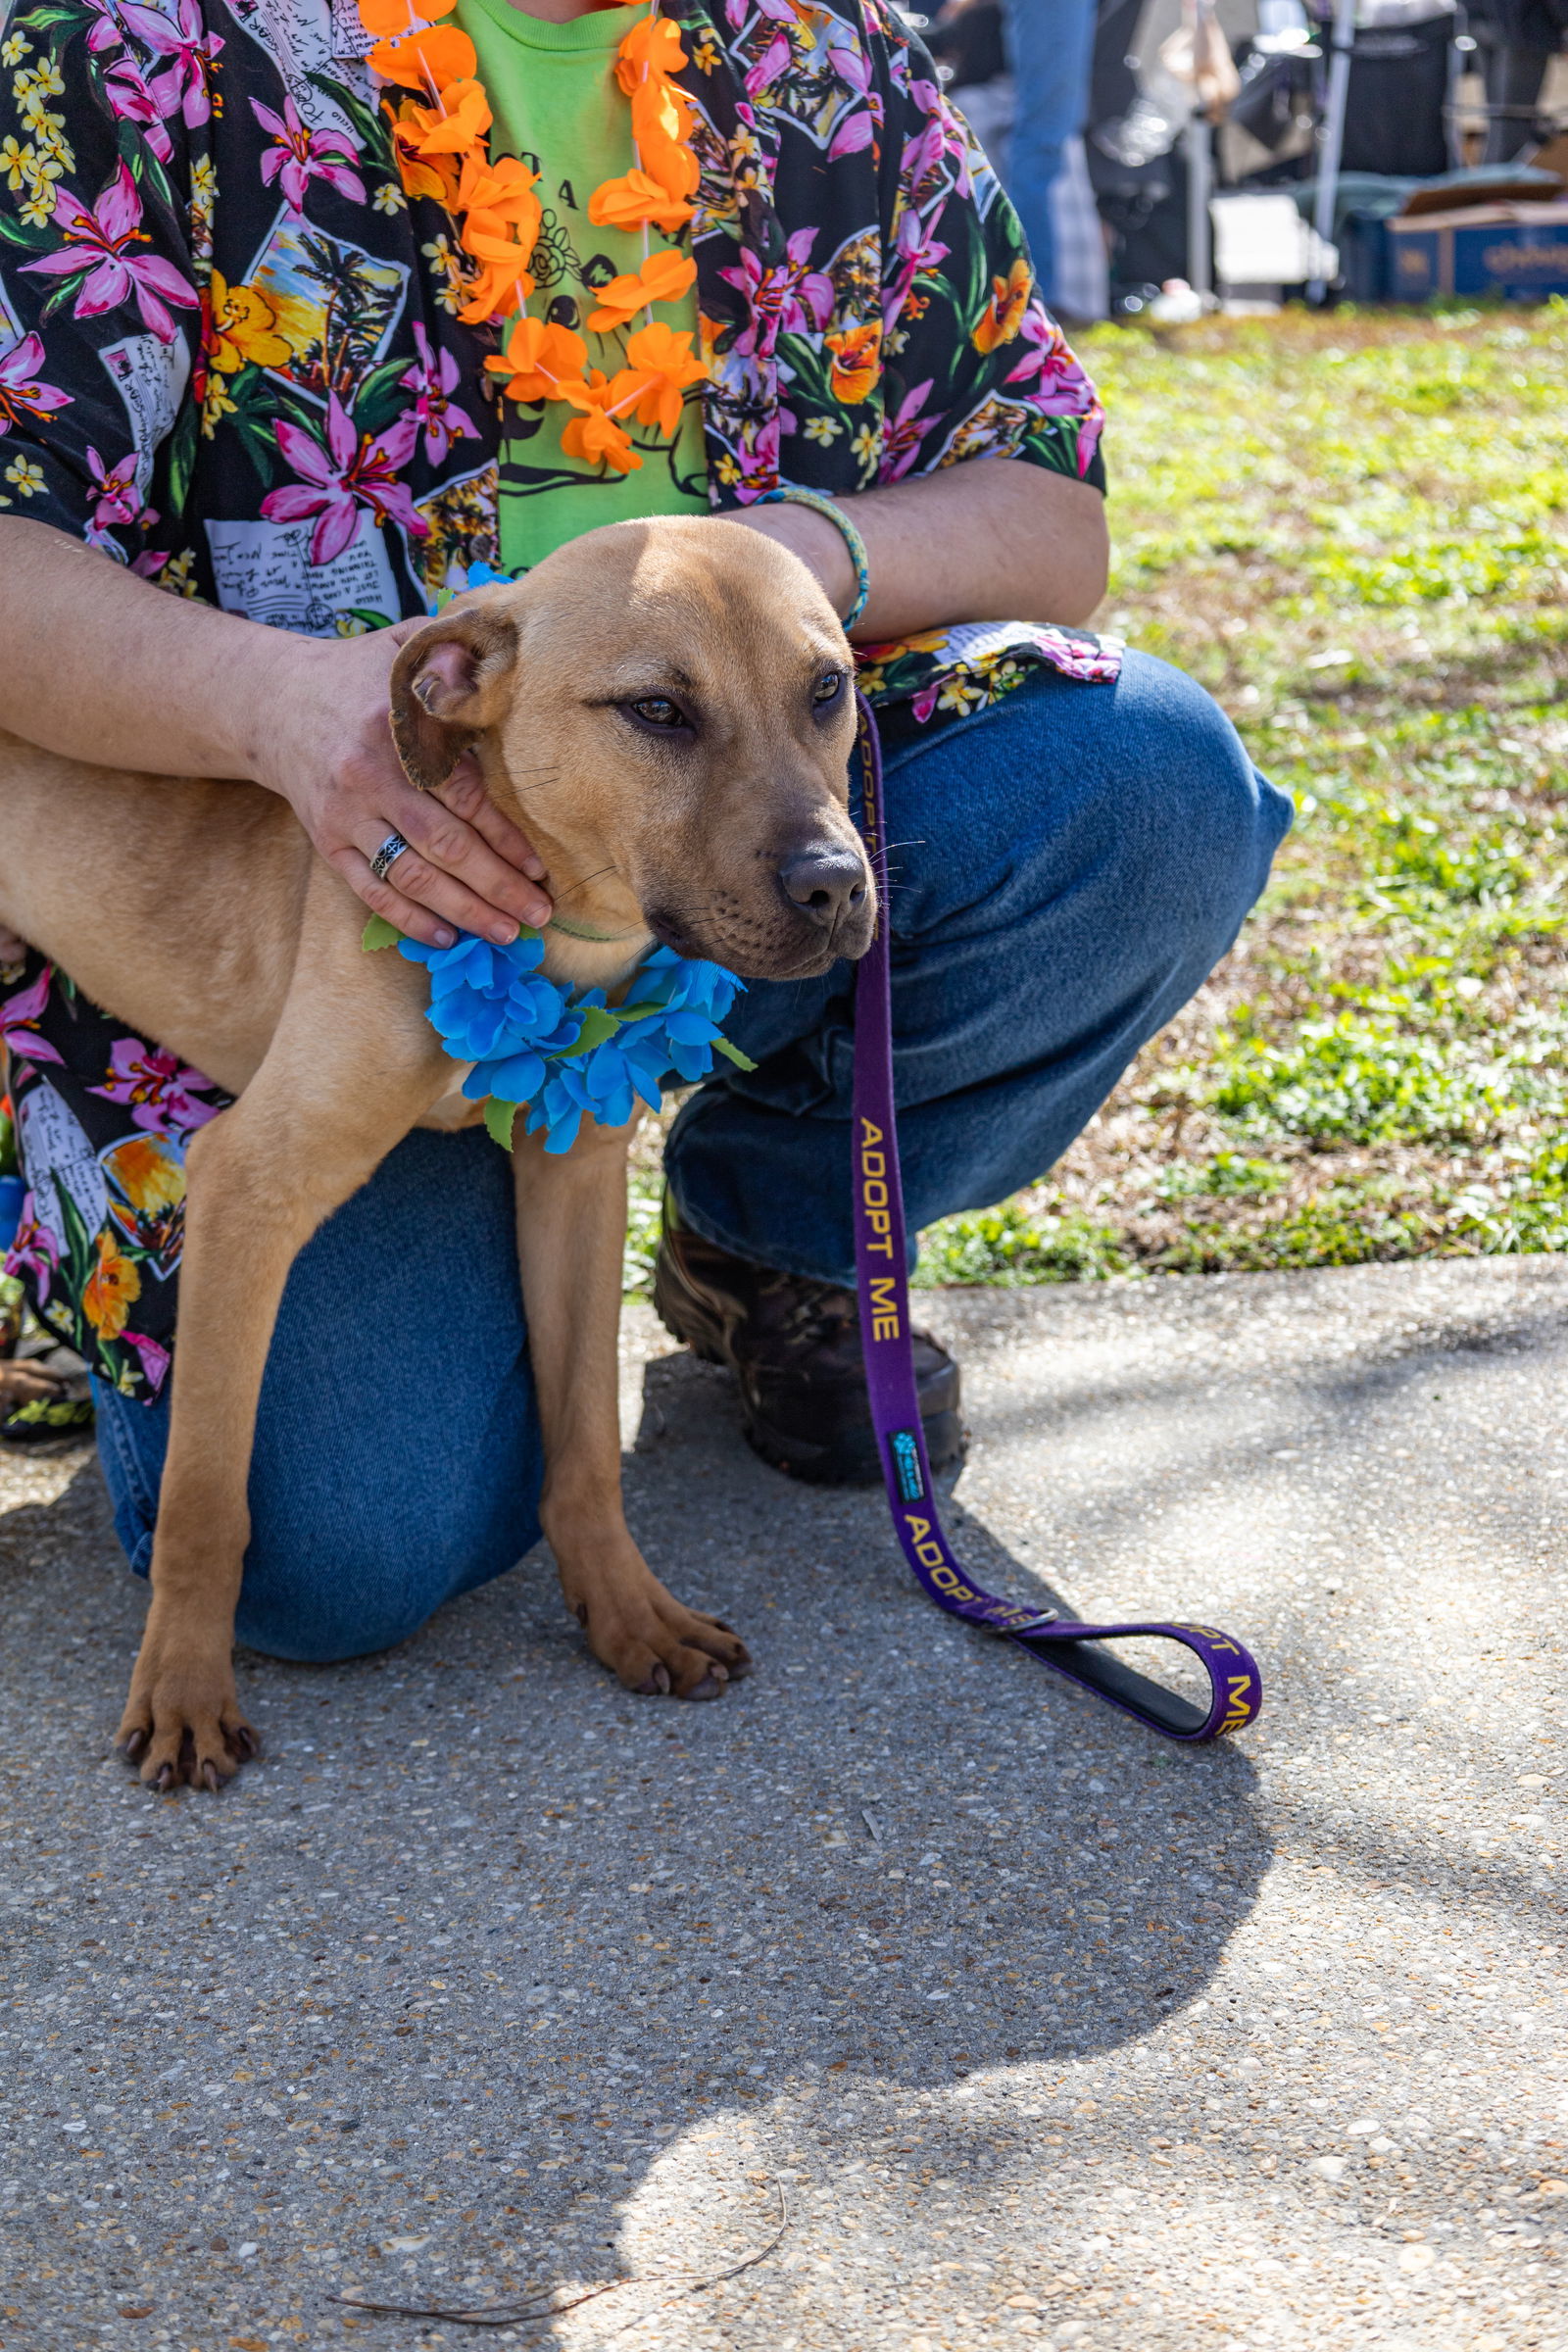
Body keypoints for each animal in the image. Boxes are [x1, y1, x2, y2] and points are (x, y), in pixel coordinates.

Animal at [0, 524, 869, 1788]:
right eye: (657, 710)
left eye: (826, 691)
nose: (837, 887)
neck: (558, 927)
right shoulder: (250, 1187)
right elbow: (208, 1497)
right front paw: (184, 1689)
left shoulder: (575, 1184)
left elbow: (584, 1443)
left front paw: (627, 1616)